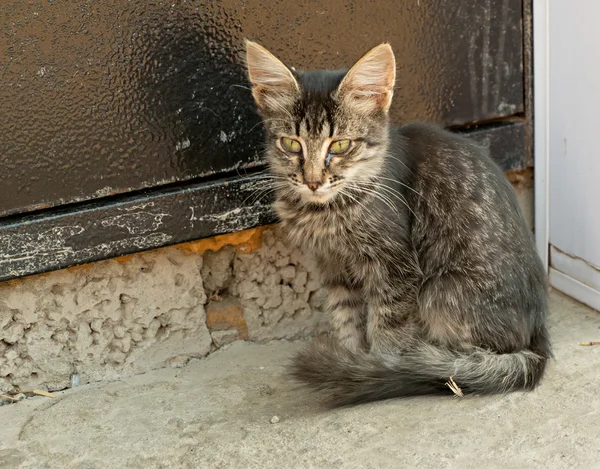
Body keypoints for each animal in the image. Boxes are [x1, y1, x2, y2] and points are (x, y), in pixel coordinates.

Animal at [246, 41, 552, 406]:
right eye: (291, 144)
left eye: (340, 145)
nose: (313, 181)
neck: (326, 213)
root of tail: (539, 336)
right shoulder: (331, 267)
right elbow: (345, 318)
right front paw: (350, 357)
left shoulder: (395, 268)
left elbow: (387, 329)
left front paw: (374, 368)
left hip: (438, 293)